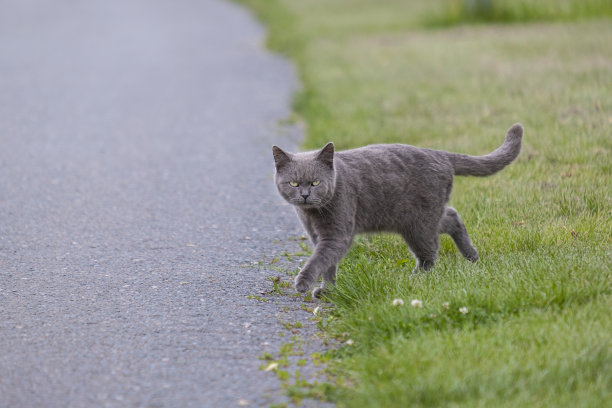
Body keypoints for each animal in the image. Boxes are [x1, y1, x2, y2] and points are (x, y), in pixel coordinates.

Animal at [272, 122, 520, 296]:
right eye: (293, 183)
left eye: (315, 182)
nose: (305, 195)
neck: (313, 214)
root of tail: (440, 153)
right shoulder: (318, 235)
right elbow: (327, 264)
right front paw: (328, 290)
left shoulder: (337, 234)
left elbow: (319, 259)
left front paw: (303, 282)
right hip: (421, 219)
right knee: (451, 217)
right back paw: (471, 256)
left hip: (418, 223)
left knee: (430, 251)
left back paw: (417, 277)